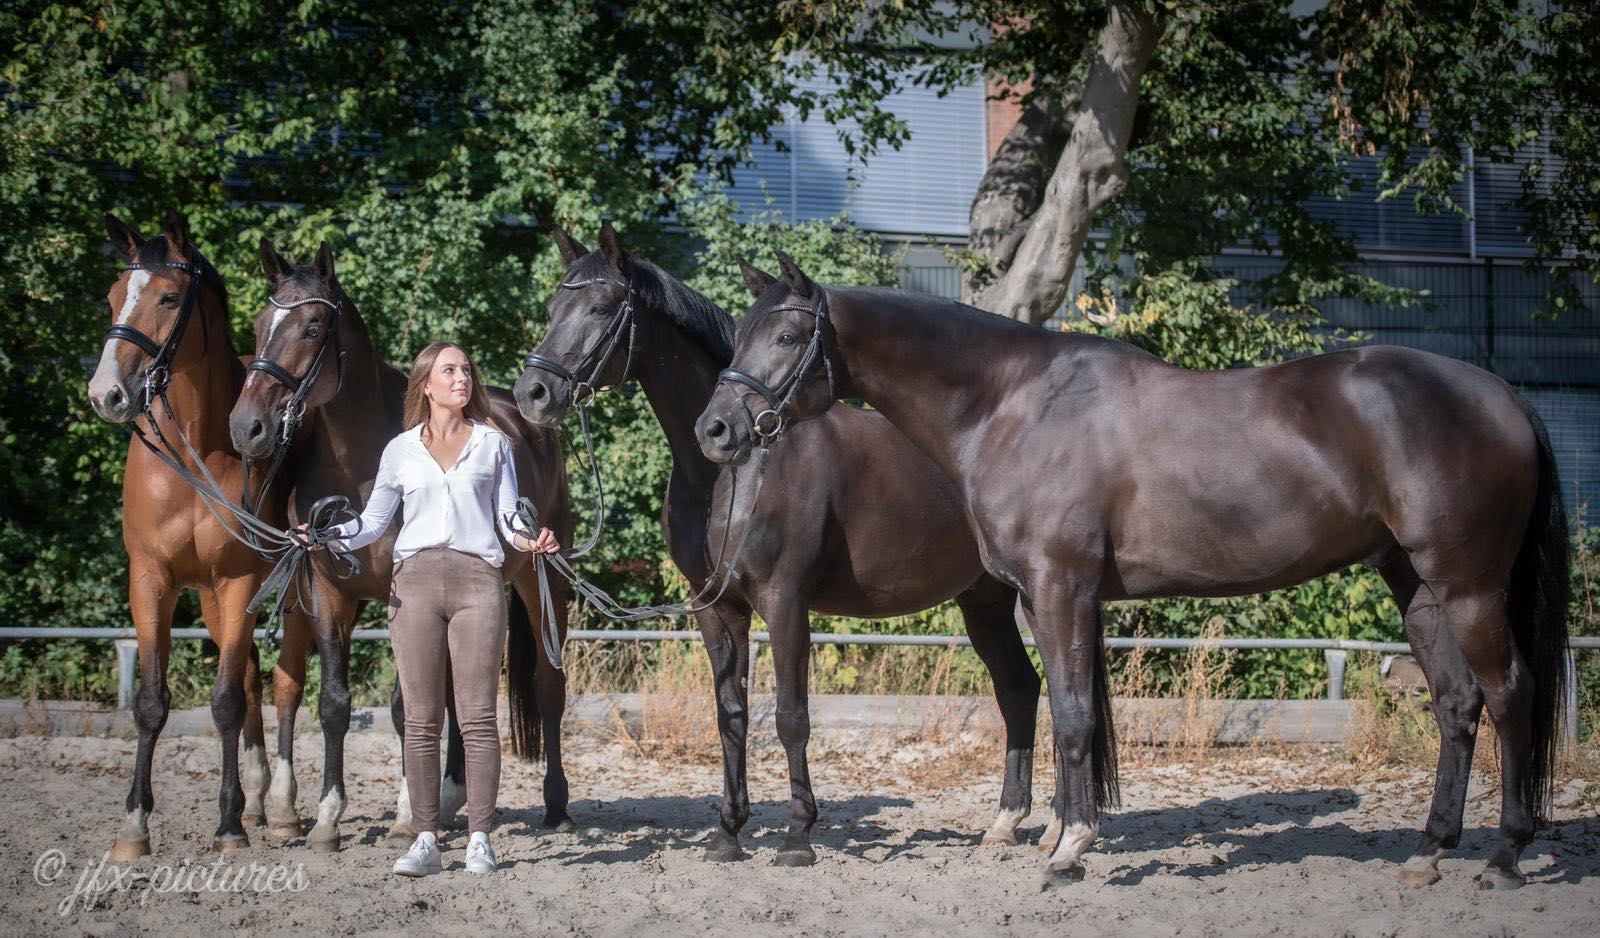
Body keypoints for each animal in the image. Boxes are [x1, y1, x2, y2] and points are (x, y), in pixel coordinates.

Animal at [86, 211, 313, 851]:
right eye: (112, 295)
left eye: (167, 297)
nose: (106, 394)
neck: (192, 454)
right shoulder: (151, 580)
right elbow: (150, 701)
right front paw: (134, 827)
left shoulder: (236, 582)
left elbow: (226, 700)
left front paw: (228, 823)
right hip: (214, 601)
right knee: (259, 681)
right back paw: (259, 801)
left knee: (280, 685)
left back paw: (276, 810)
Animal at [225, 236, 576, 845]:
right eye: (257, 324)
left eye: (312, 328)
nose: (247, 427)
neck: (360, 463)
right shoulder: (328, 591)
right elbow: (335, 703)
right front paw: (328, 818)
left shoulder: (403, 590)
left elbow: (406, 702)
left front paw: (409, 812)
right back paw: (454, 795)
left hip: (540, 581)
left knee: (547, 685)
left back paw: (554, 805)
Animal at [505, 220, 1043, 864]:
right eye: (552, 308)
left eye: (600, 307)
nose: (533, 393)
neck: (735, 475)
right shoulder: (717, 610)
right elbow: (731, 715)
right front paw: (728, 832)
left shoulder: (785, 601)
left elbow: (790, 717)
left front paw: (797, 836)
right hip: (984, 601)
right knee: (1019, 689)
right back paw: (1006, 821)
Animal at [694, 251, 1568, 889]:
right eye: (735, 339)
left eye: (784, 338)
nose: (716, 429)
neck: (1011, 404)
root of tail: (1502, 395)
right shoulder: (1044, 597)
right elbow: (1062, 711)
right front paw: (1063, 836)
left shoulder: (1061, 586)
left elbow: (1076, 716)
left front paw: (1069, 850)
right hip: (1417, 586)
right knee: (1457, 706)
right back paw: (1431, 851)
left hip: (1470, 588)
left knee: (1509, 694)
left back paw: (1505, 855)